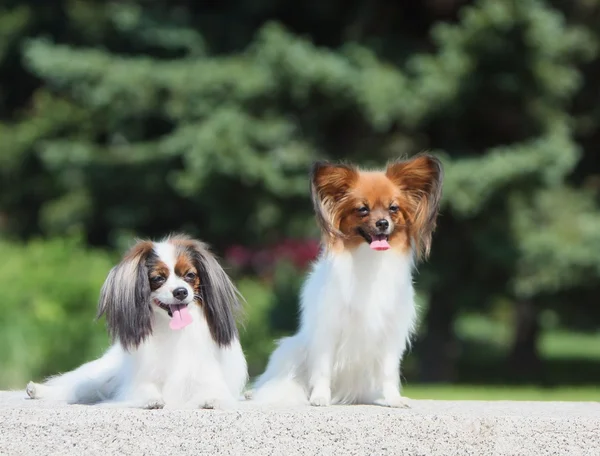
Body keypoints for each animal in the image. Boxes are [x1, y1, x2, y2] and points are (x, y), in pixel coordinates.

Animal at [25, 235, 248, 410]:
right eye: (158, 278)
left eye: (190, 275)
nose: (181, 292)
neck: (172, 330)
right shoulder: (139, 382)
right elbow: (143, 391)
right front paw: (151, 400)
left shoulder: (205, 375)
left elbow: (213, 392)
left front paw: (211, 400)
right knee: (79, 387)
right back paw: (37, 390)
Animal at [248, 153, 440, 406]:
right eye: (362, 209)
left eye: (393, 208)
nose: (383, 223)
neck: (369, 260)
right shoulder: (328, 328)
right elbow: (322, 368)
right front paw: (320, 397)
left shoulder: (390, 333)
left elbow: (389, 372)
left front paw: (393, 399)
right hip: (291, 350)